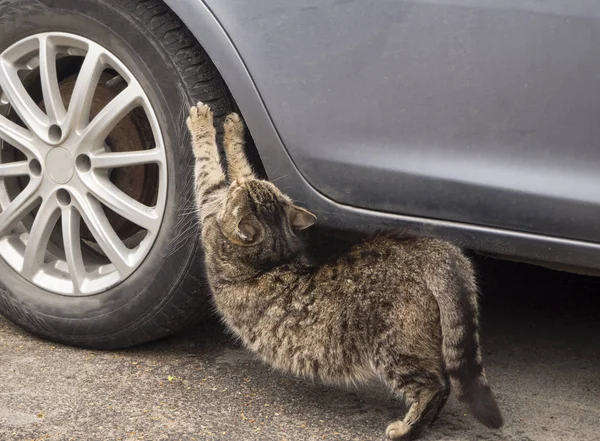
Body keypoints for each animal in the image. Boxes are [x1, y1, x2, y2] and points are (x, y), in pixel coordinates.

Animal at [186, 101, 502, 438]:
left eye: (238, 192)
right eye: (248, 188)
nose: (237, 186)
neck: (274, 255)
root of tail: (434, 248)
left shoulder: (210, 208)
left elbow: (209, 167)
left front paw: (205, 123)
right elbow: (239, 163)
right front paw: (233, 130)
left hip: (394, 349)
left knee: (433, 386)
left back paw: (407, 428)